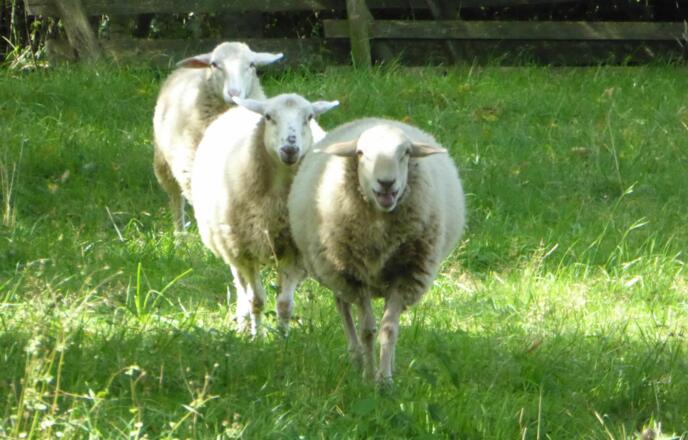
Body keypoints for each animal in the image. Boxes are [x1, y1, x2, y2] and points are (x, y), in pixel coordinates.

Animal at [153, 41, 284, 232]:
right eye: (215, 64)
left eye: (252, 65)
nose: (234, 92)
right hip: (164, 163)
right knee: (176, 199)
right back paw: (180, 235)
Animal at [191, 93, 339, 336]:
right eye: (269, 117)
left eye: (309, 117)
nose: (290, 148)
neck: (276, 205)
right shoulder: (245, 251)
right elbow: (257, 301)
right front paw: (257, 336)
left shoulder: (294, 253)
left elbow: (285, 304)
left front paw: (283, 338)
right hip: (230, 245)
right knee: (240, 287)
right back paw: (242, 321)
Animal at [288, 117, 466, 384]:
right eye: (361, 153)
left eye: (406, 153)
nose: (386, 183)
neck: (380, 233)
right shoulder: (353, 275)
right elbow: (367, 330)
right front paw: (368, 376)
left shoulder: (406, 275)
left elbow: (389, 329)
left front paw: (385, 380)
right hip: (335, 272)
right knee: (343, 308)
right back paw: (356, 357)